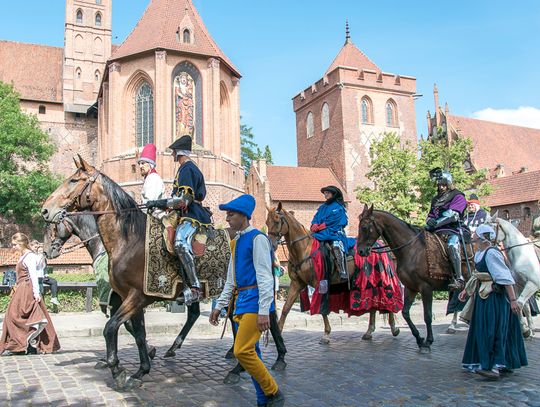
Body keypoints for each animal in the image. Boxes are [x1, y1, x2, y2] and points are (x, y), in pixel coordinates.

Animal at [266, 204, 400, 344]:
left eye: (277, 221)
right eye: (267, 222)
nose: (271, 244)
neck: (304, 249)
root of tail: (379, 245)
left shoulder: (320, 283)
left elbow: (322, 309)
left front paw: (326, 334)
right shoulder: (297, 283)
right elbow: (286, 308)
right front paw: (278, 334)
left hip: (381, 278)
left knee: (387, 298)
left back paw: (393, 328)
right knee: (372, 303)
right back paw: (369, 331)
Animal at [358, 206, 456, 352]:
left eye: (364, 227)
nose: (360, 251)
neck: (411, 249)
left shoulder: (426, 288)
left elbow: (427, 315)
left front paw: (428, 341)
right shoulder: (411, 288)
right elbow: (405, 313)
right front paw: (419, 339)